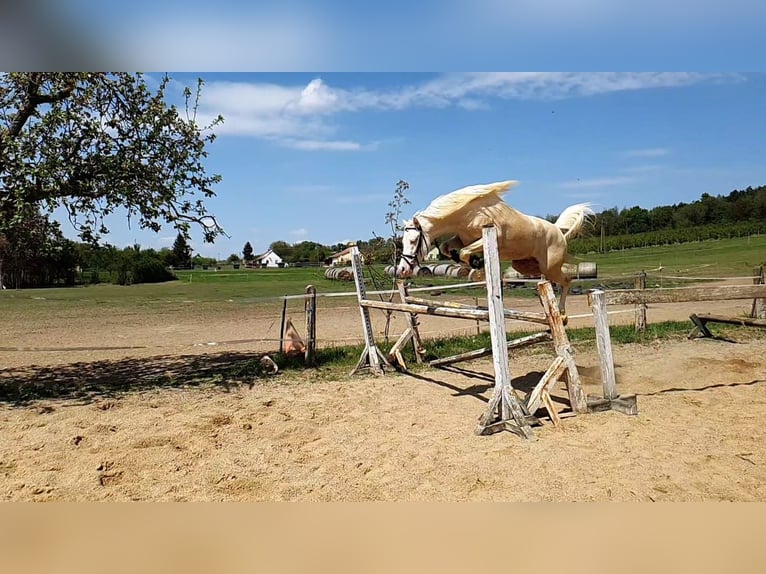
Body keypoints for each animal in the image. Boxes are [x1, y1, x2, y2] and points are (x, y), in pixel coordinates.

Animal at [400, 180, 596, 316]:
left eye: (413, 241)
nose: (402, 270)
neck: (466, 213)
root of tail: (559, 233)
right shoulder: (462, 238)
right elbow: (446, 247)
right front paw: (470, 261)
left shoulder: (488, 236)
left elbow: (463, 252)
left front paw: (477, 264)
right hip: (525, 265)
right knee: (547, 281)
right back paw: (545, 302)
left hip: (550, 266)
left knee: (566, 280)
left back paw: (562, 313)